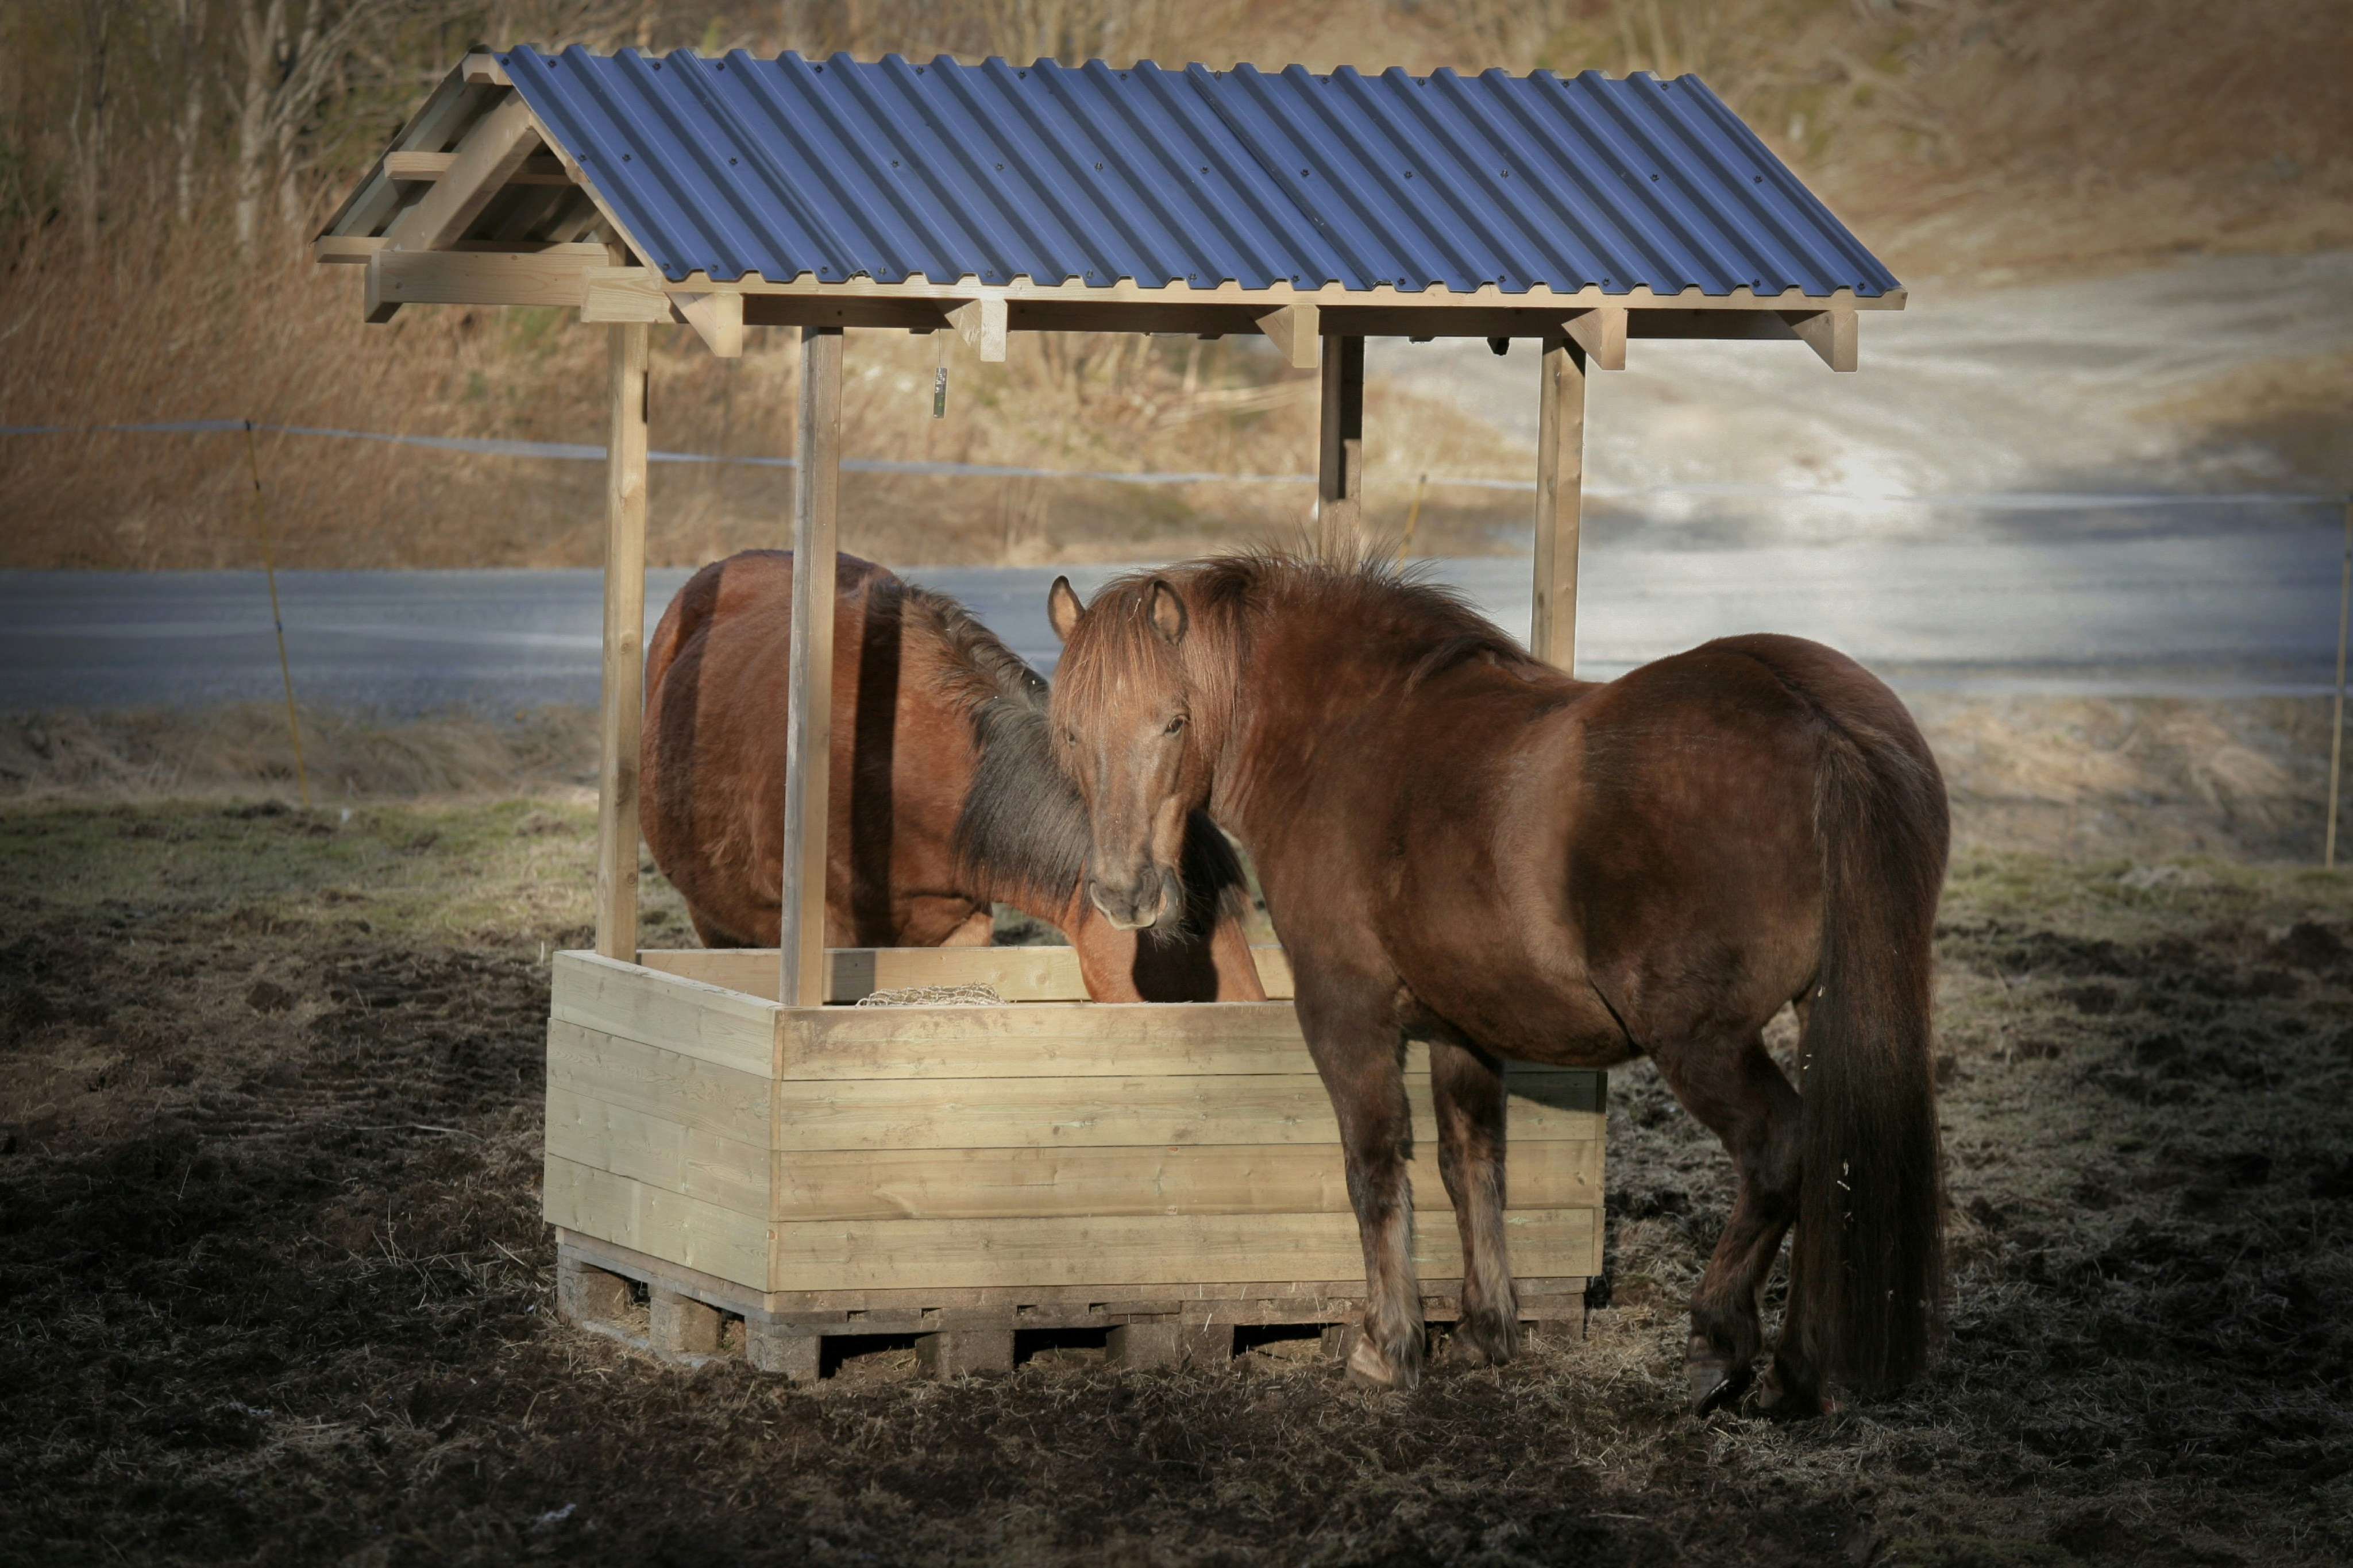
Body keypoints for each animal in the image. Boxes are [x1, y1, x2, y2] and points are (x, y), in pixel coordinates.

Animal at [1043, 547, 1948, 1411]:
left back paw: (1719, 1342)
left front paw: (1389, 1345)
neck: (1347, 736)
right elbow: (1470, 1163)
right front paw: (1487, 1327)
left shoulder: (1344, 1010)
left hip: (1702, 1044)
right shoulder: (1463, 1027)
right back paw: (1796, 1374)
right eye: (1072, 734)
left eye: (1174, 721)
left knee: (1779, 1150)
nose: (1123, 893)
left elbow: (1373, 1164)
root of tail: (1815, 718)